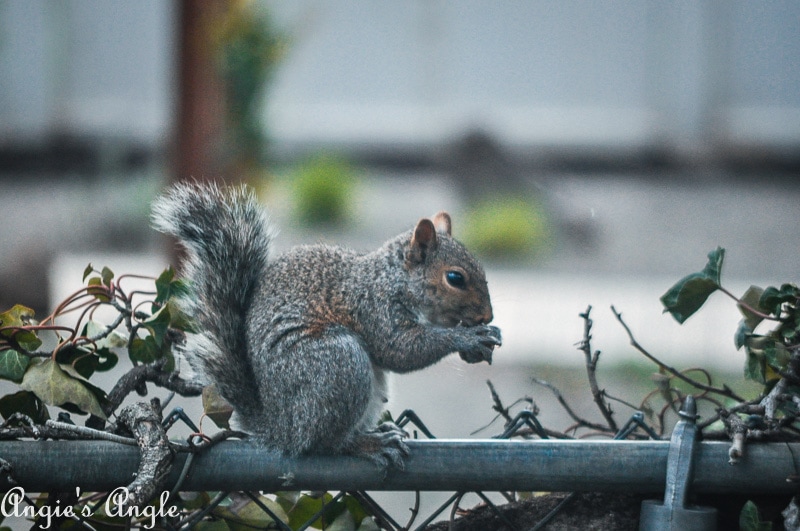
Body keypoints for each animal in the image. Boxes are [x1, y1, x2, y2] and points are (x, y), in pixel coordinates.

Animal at [150, 184, 500, 470]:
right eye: (455, 278)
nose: (487, 316)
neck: (394, 279)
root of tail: (283, 429)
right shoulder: (374, 308)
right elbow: (400, 350)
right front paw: (466, 338)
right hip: (339, 365)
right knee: (324, 445)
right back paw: (368, 444)